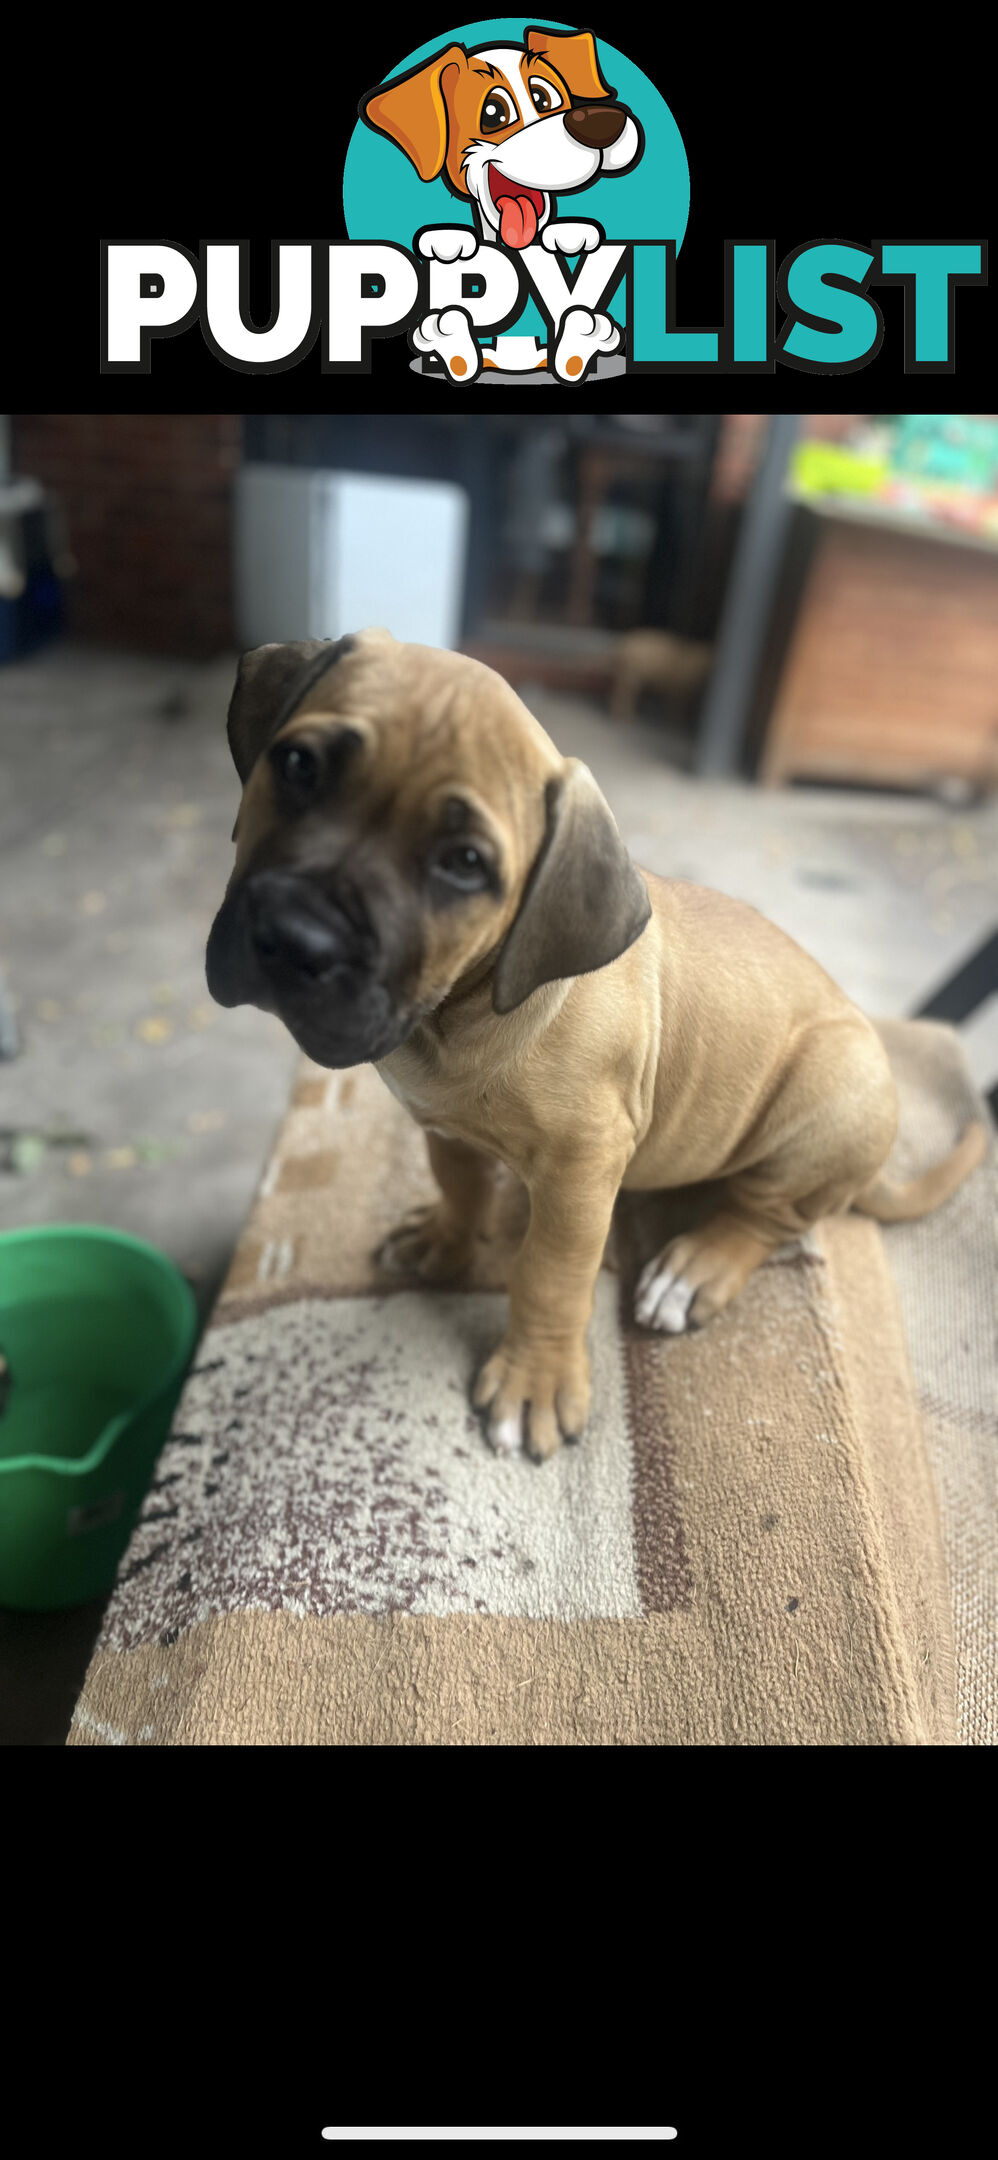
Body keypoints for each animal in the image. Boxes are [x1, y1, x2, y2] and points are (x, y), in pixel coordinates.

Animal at [208, 630, 989, 1460]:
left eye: (465, 864)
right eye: (299, 765)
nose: (295, 939)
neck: (460, 1010)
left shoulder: (580, 1170)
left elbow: (550, 1274)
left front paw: (533, 1381)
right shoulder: (444, 1128)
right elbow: (458, 1186)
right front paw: (446, 1240)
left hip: (831, 1092)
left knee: (767, 1217)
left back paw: (696, 1267)